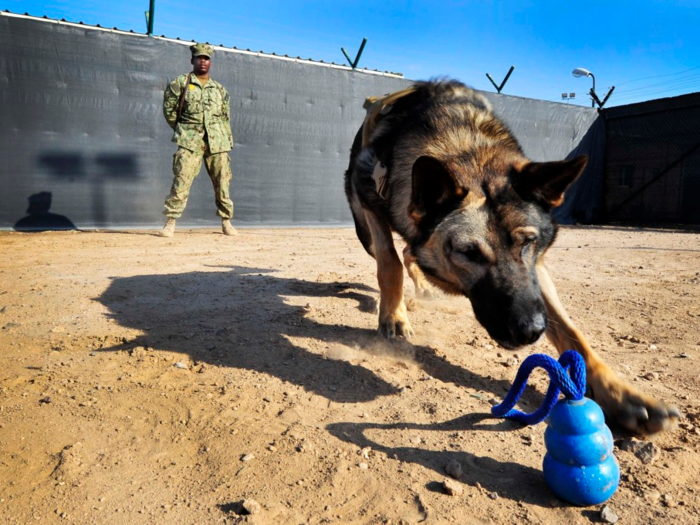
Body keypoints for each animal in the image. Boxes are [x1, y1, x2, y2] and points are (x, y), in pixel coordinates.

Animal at [344, 80, 680, 434]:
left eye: (528, 242)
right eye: (468, 252)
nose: (531, 331)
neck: (466, 147)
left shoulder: (536, 273)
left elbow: (572, 334)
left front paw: (623, 397)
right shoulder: (369, 197)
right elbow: (389, 263)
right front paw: (394, 316)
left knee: (410, 250)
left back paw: (421, 287)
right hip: (364, 228)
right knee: (394, 253)